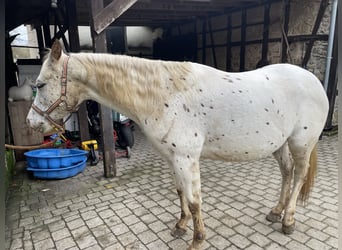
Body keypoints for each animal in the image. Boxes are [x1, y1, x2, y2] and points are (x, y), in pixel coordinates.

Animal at [26, 40, 328, 249]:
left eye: (40, 85)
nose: (32, 123)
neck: (166, 93)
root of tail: (314, 81)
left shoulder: (187, 158)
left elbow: (194, 202)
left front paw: (197, 239)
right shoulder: (173, 158)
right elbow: (180, 193)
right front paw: (180, 226)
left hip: (301, 143)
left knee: (299, 175)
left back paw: (288, 220)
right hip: (279, 145)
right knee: (287, 172)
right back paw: (276, 212)